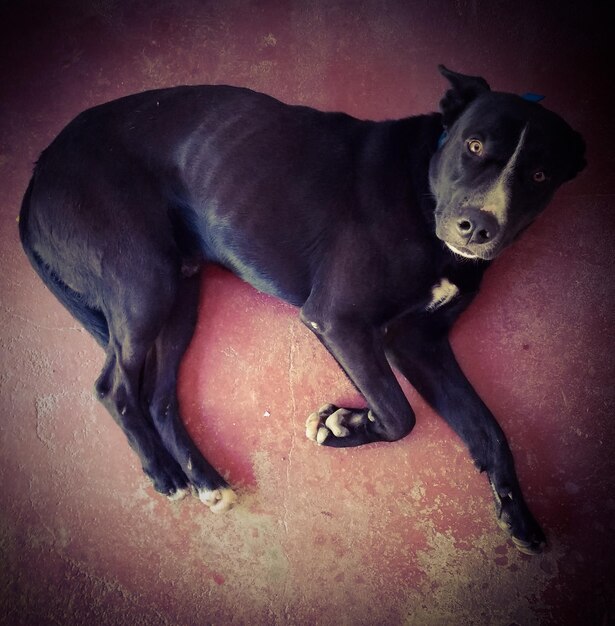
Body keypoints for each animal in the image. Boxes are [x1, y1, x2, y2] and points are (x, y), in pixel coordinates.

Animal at [20, 63, 588, 552]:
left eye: (539, 176)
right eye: (474, 145)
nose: (478, 227)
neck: (423, 191)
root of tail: (36, 176)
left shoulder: (420, 343)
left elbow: (489, 429)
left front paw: (519, 515)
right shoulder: (338, 319)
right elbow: (400, 414)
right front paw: (346, 425)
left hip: (180, 296)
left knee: (158, 397)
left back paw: (205, 480)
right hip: (144, 284)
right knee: (113, 387)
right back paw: (164, 474)